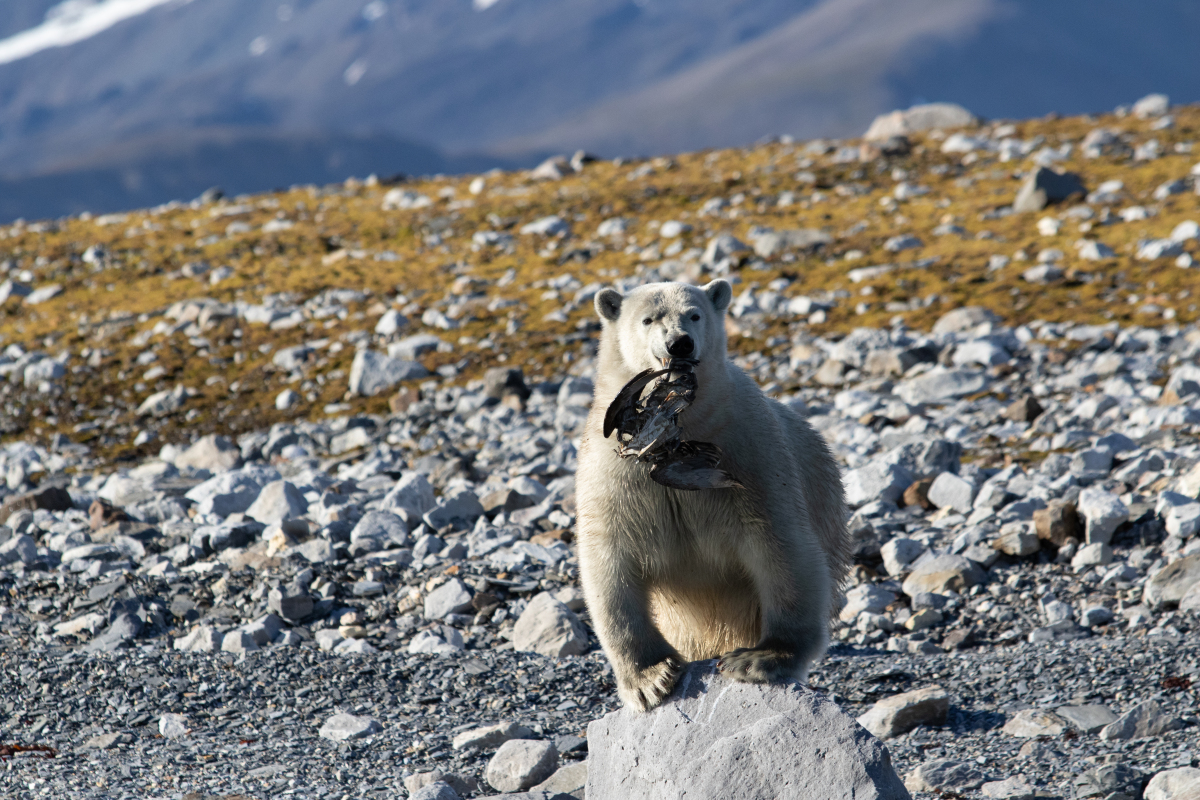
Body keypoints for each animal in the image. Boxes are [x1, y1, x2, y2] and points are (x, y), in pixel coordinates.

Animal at [573, 281, 849, 714]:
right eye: (648, 318)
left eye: (694, 314)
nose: (679, 344)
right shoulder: (613, 472)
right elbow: (609, 560)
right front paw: (650, 680)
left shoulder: (750, 450)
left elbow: (782, 545)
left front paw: (761, 658)